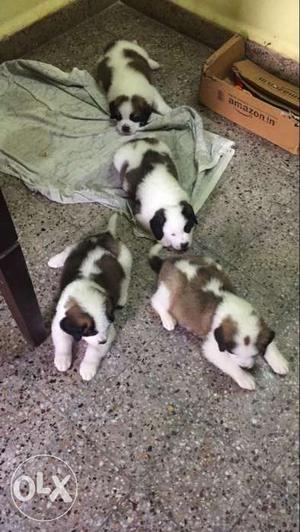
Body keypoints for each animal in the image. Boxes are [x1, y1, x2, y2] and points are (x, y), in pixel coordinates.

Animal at [48, 214, 131, 380]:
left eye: (106, 328)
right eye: (91, 332)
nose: (103, 341)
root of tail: (106, 236)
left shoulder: (109, 332)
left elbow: (93, 352)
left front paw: (87, 367)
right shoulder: (58, 321)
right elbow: (62, 342)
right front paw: (62, 359)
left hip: (125, 261)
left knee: (126, 278)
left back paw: (122, 297)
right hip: (80, 244)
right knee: (69, 248)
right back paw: (55, 260)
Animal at [149, 245, 288, 390]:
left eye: (255, 354)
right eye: (233, 353)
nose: (245, 367)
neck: (237, 314)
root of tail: (167, 262)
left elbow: (270, 342)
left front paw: (279, 361)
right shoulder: (213, 347)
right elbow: (229, 364)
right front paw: (245, 378)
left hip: (211, 262)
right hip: (169, 291)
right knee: (156, 301)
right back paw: (168, 319)